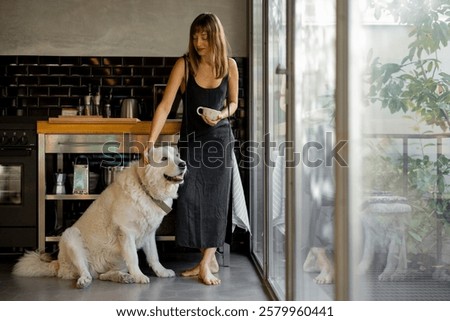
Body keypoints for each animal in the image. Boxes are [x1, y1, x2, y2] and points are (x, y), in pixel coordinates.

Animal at [13, 145, 186, 288]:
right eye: (164, 159)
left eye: (177, 155)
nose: (183, 164)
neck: (145, 189)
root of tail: (58, 264)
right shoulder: (126, 233)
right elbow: (134, 259)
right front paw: (139, 276)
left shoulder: (149, 234)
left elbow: (154, 257)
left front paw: (161, 272)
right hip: (71, 236)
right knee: (85, 271)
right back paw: (84, 281)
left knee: (102, 275)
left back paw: (121, 277)